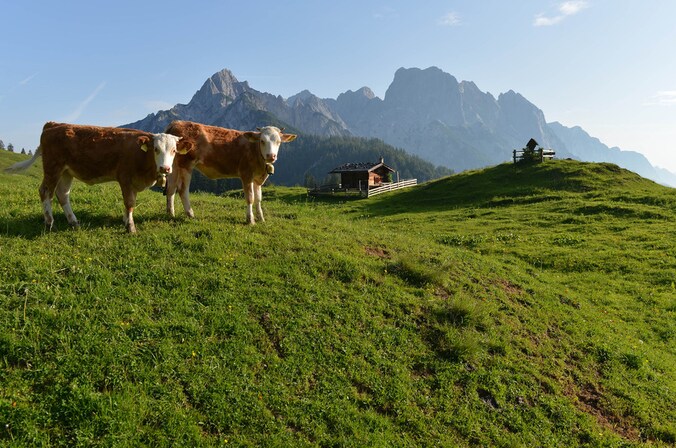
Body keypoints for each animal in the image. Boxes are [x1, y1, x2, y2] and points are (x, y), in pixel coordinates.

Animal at [4, 122, 185, 233]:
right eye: (156, 149)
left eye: (174, 150)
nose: (165, 168)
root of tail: (53, 124)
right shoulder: (125, 178)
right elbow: (129, 202)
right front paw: (131, 228)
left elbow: (130, 203)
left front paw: (126, 221)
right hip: (52, 167)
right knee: (45, 192)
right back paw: (49, 223)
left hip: (66, 172)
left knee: (62, 194)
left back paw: (74, 222)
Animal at [164, 120, 297, 224]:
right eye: (262, 141)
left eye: (278, 142)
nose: (271, 156)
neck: (255, 151)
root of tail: (177, 123)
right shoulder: (246, 174)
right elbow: (250, 197)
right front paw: (250, 220)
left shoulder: (257, 178)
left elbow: (258, 198)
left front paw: (261, 218)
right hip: (186, 164)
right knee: (182, 189)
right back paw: (190, 214)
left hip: (174, 165)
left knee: (171, 189)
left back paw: (171, 213)